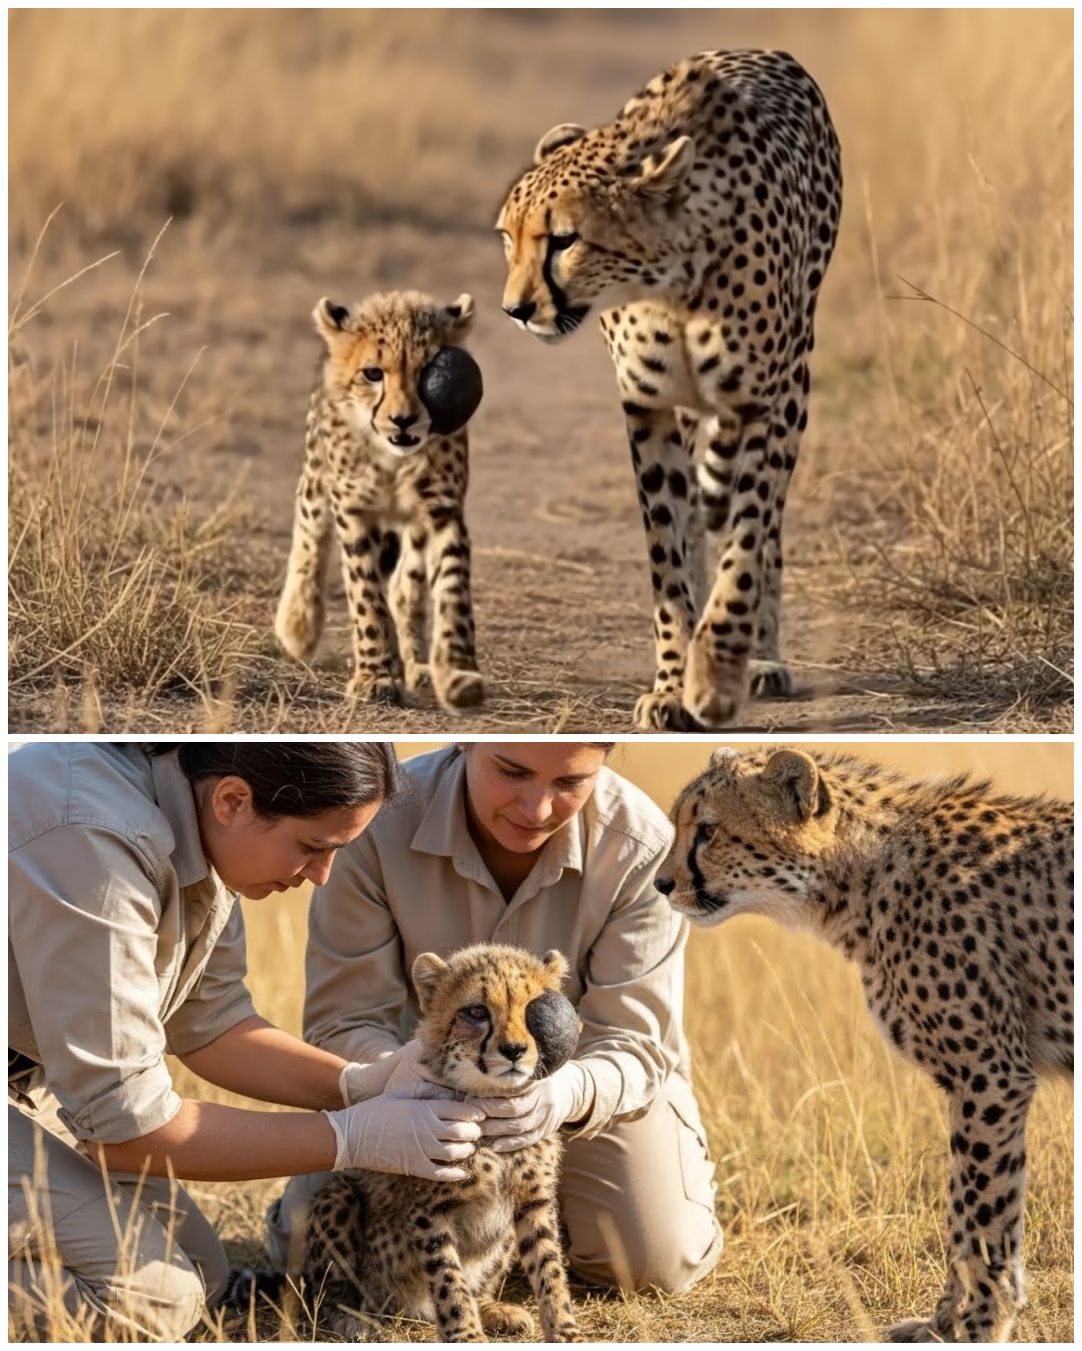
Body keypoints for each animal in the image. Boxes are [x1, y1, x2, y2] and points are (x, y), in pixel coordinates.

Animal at [274, 290, 484, 714]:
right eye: (373, 373)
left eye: (427, 371)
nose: (403, 419)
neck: (394, 459)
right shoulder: (353, 509)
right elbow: (365, 593)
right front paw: (375, 675)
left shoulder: (443, 509)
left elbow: (452, 587)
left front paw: (457, 671)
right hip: (317, 480)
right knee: (309, 535)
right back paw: (298, 622)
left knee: (407, 585)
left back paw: (416, 662)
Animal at [300, 944, 585, 1344]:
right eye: (476, 1012)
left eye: (533, 1008)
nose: (514, 1050)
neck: (489, 1101)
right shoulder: (431, 1210)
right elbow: (450, 1282)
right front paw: (467, 1336)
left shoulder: (534, 1201)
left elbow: (550, 1270)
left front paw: (566, 1332)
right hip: (339, 1198)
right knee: (331, 1289)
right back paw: (350, 1317)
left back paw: (494, 1310)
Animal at [496, 49, 842, 732]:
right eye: (506, 237)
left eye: (564, 240)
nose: (515, 311)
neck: (671, 283)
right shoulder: (648, 408)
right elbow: (669, 553)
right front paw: (670, 682)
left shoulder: (763, 405)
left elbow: (746, 544)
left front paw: (716, 677)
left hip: (794, 384)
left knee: (766, 530)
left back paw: (763, 656)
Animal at [656, 745, 1073, 1342]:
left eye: (709, 830)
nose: (661, 884)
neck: (864, 877)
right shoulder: (976, 1082)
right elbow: (960, 1208)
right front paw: (943, 1321)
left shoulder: (991, 1074)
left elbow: (983, 1209)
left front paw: (979, 1324)